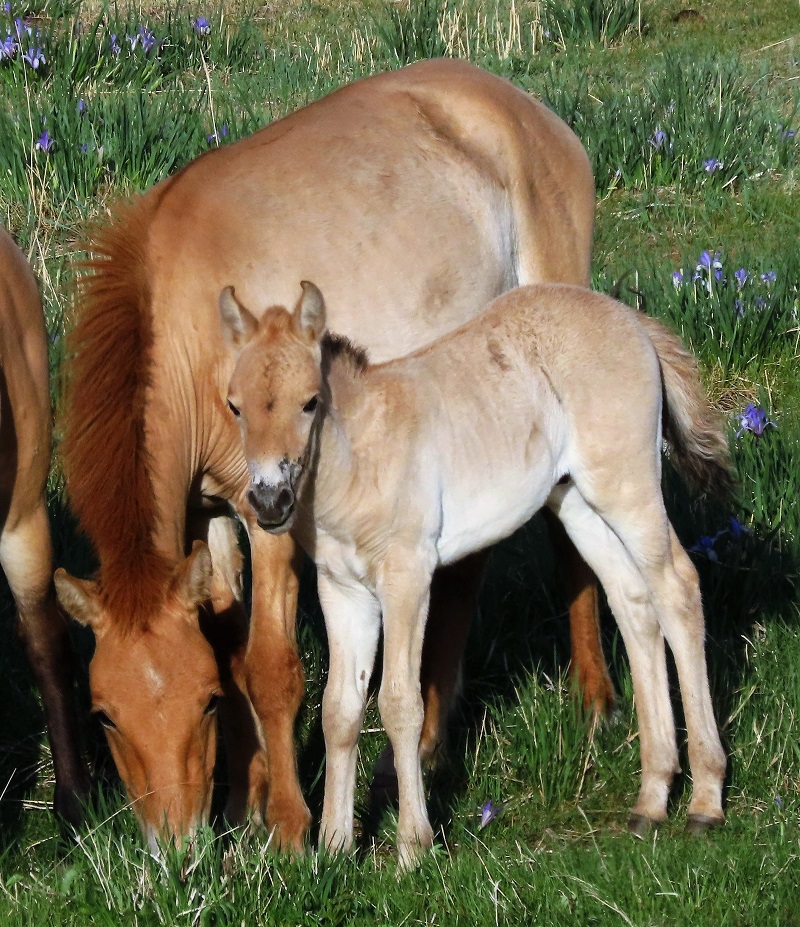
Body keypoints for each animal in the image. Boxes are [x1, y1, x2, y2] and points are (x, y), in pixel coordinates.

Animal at [53, 59, 608, 856]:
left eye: (201, 703)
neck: (195, 335)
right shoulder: (208, 512)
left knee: (570, 536)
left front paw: (289, 824)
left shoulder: (271, 515)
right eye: (103, 714)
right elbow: (231, 640)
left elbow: (270, 667)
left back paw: (595, 700)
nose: (178, 851)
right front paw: (244, 802)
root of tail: (526, 111)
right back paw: (428, 748)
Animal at [219, 280, 732, 872]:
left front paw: (412, 848)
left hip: (627, 485)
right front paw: (334, 848)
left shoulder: (407, 577)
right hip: (578, 502)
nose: (269, 502)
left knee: (677, 588)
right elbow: (338, 711)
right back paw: (651, 798)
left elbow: (400, 703)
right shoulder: (341, 590)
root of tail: (632, 320)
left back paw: (704, 800)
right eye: (235, 406)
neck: (361, 457)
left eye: (310, 403)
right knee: (633, 603)